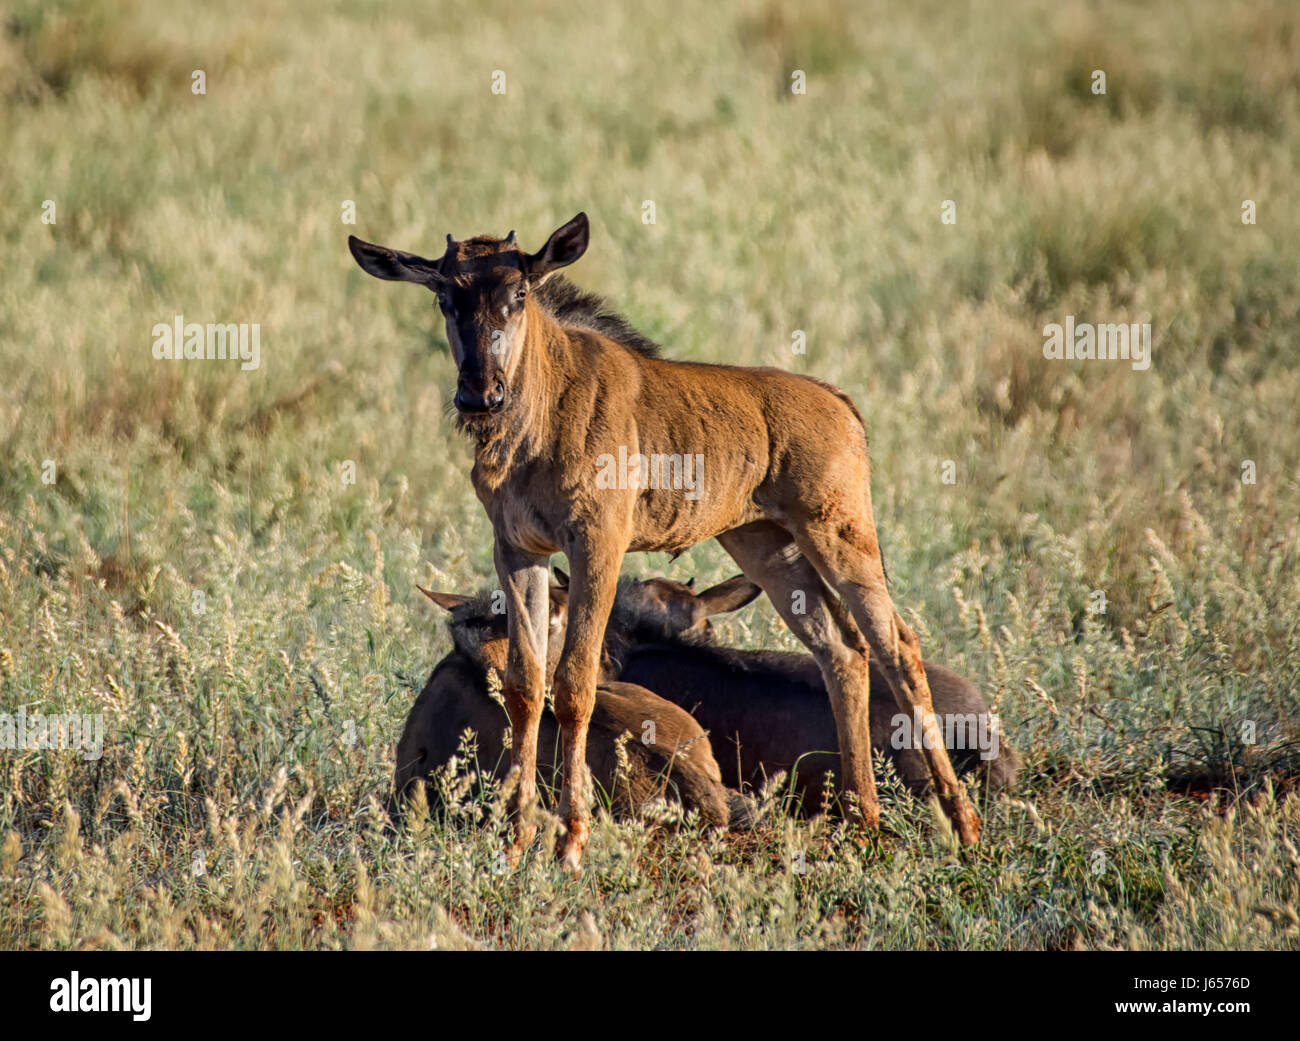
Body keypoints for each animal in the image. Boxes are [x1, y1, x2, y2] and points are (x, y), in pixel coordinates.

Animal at [349, 213, 981, 868]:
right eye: (445, 297)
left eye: (518, 293)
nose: (480, 394)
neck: (539, 413)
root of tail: (840, 402)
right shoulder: (518, 550)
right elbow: (525, 684)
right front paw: (519, 836)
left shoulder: (596, 543)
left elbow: (574, 682)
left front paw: (571, 840)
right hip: (766, 545)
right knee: (841, 649)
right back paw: (863, 823)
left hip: (839, 532)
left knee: (896, 647)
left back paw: (962, 826)